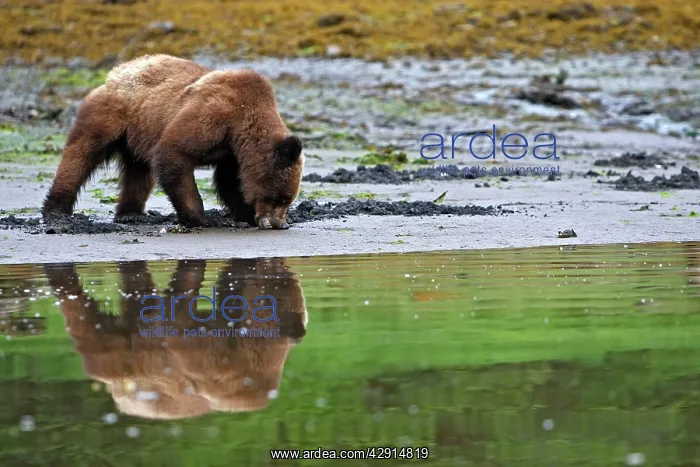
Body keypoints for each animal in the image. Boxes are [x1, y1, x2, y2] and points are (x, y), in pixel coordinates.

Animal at [41, 54, 304, 230]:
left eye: (287, 200)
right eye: (280, 198)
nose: (281, 223)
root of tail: (115, 71)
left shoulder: (232, 151)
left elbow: (229, 181)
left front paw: (245, 213)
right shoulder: (215, 114)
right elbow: (174, 153)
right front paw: (198, 217)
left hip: (139, 133)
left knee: (139, 172)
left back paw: (131, 213)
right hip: (111, 114)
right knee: (81, 155)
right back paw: (56, 212)